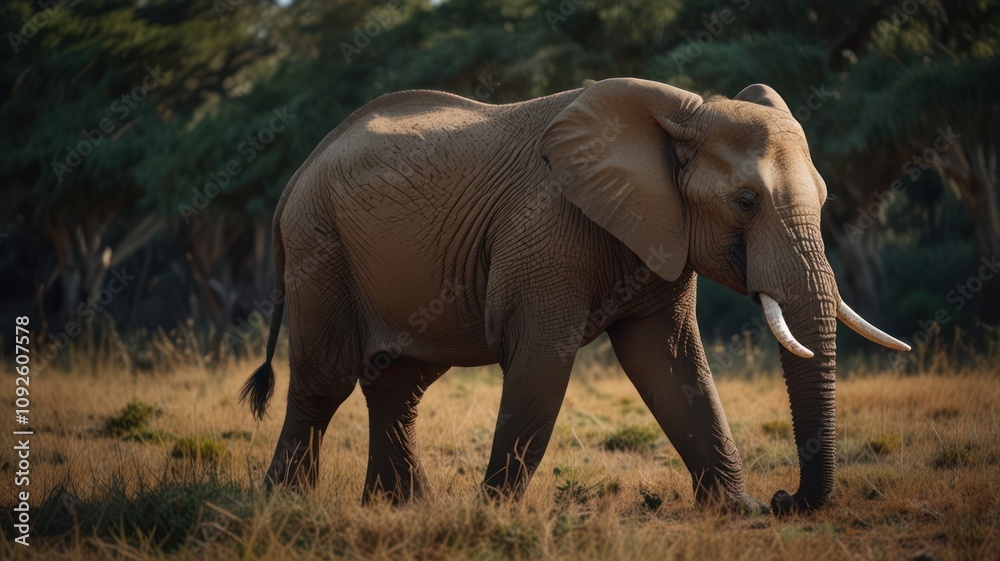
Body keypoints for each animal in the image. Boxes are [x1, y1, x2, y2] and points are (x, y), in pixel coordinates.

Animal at [240, 77, 910, 514]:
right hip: (318, 244)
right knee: (326, 378)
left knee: (398, 382)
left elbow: (669, 362)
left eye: (824, 200)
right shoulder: (545, 231)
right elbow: (543, 358)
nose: (783, 498)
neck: (683, 114)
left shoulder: (659, 231)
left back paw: (403, 510)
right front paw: (490, 517)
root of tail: (298, 173)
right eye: (745, 202)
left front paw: (735, 511)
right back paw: (286, 507)